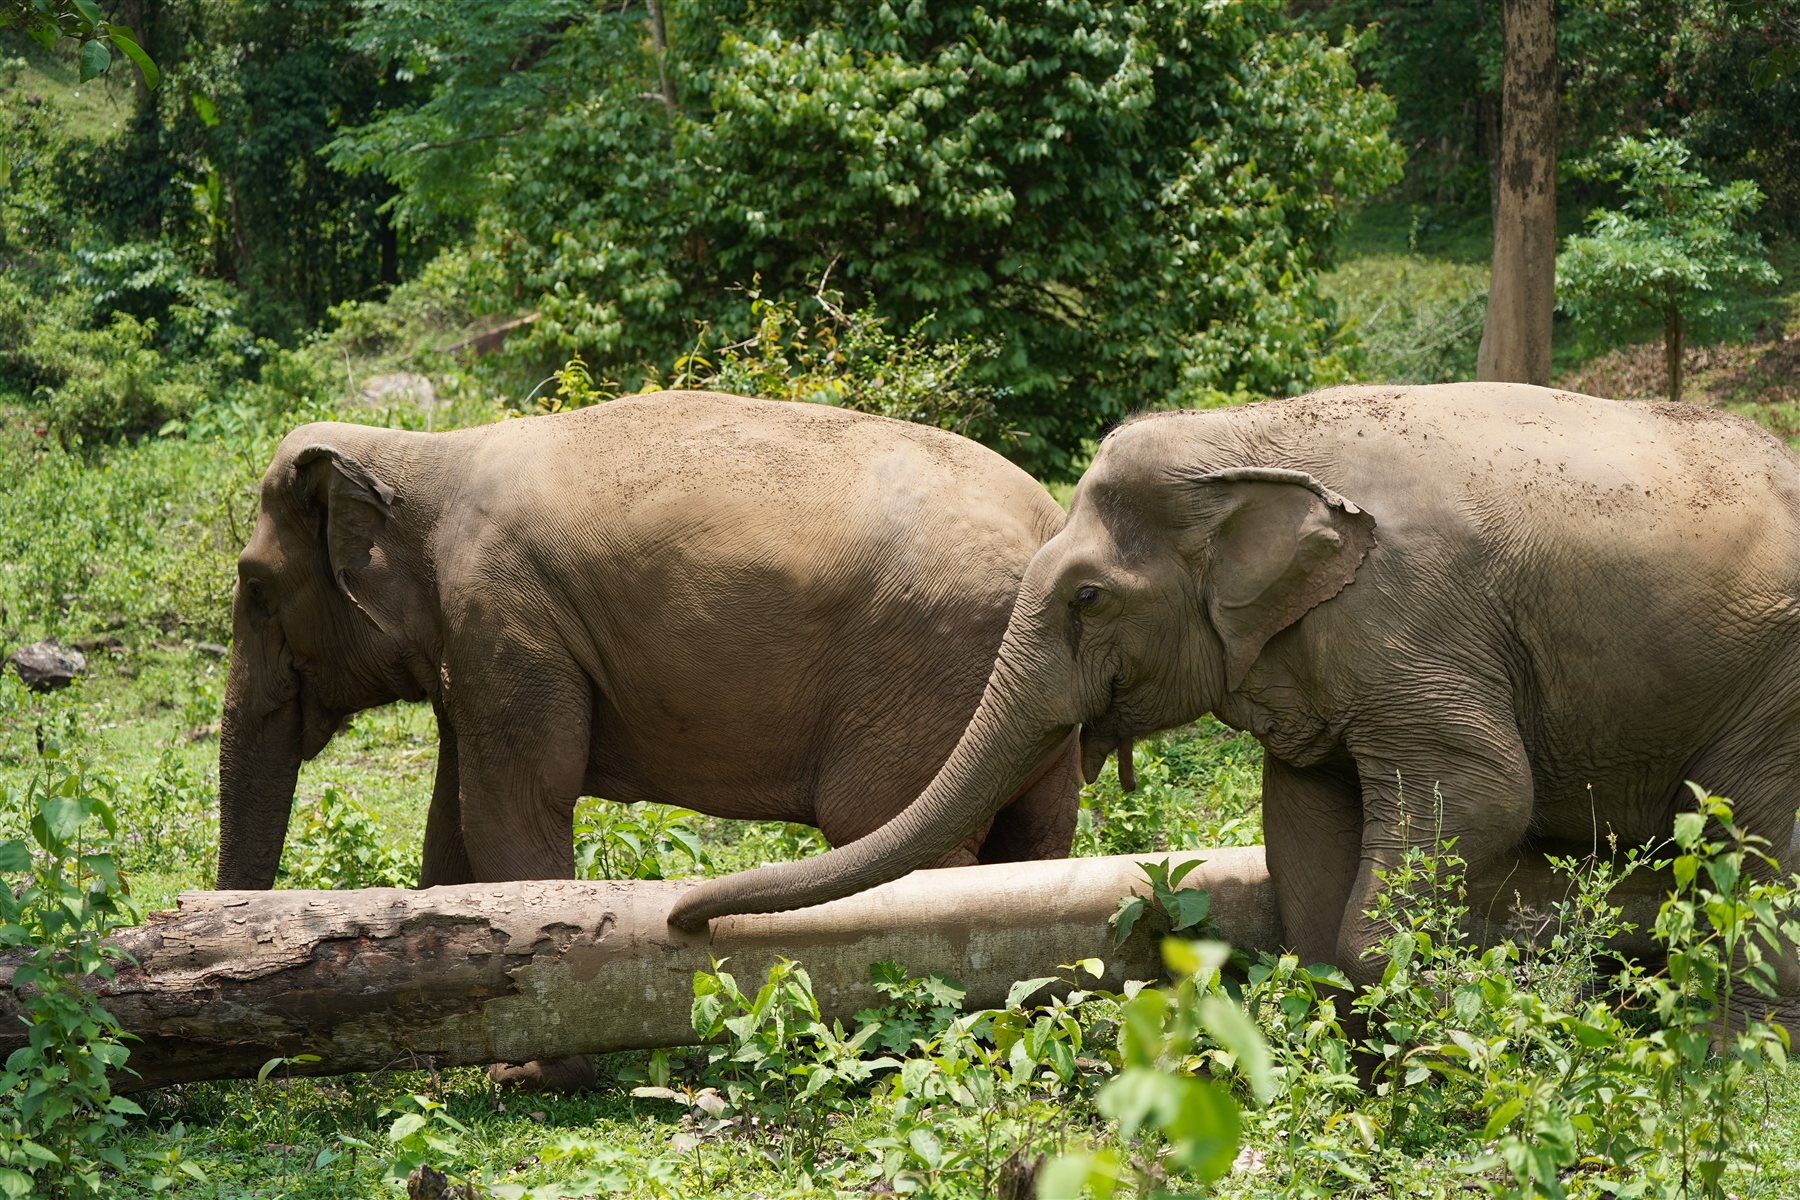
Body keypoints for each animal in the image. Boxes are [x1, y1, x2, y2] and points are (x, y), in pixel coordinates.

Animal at [218, 389, 1082, 904]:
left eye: (255, 588)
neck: (420, 451)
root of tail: (1052, 521)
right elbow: (452, 819)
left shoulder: (504, 617)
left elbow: (511, 807)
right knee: (1037, 841)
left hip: (928, 669)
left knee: (895, 835)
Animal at [670, 382, 1800, 996]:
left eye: (1087, 596)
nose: (685, 923)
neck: (1253, 437)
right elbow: (1303, 819)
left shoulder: (1415, 620)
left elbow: (1482, 791)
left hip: (1776, 691)